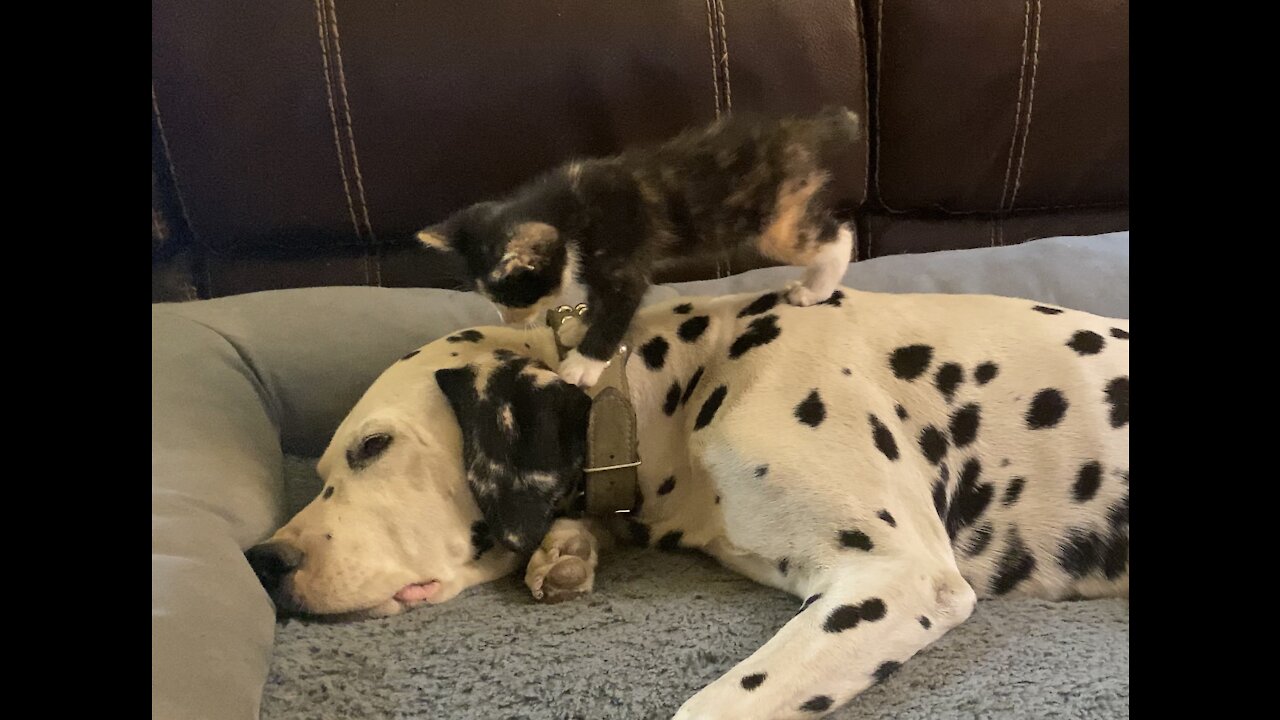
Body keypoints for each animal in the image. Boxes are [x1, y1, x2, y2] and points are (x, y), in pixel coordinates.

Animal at [247, 285, 1131, 717]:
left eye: (372, 447)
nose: (262, 560)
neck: (688, 380)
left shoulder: (897, 577)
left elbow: (717, 704)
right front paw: (566, 551)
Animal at [417, 106, 860, 386]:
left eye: (513, 297)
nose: (509, 322)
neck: (572, 207)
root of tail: (799, 129)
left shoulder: (624, 264)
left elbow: (615, 312)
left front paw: (582, 364)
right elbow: (597, 302)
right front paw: (580, 326)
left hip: (774, 222)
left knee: (838, 236)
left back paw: (814, 289)